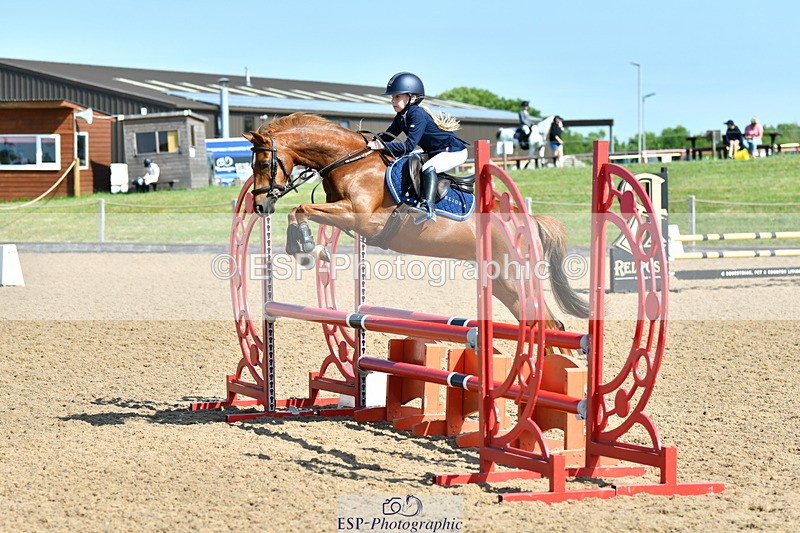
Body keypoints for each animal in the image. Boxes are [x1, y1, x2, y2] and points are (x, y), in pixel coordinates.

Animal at [243, 113, 588, 323]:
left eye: (263, 163)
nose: (260, 206)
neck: (351, 162)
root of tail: (527, 221)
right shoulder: (345, 213)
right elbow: (302, 211)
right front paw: (309, 250)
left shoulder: (361, 218)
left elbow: (300, 209)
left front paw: (308, 250)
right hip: (500, 283)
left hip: (512, 279)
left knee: (548, 323)